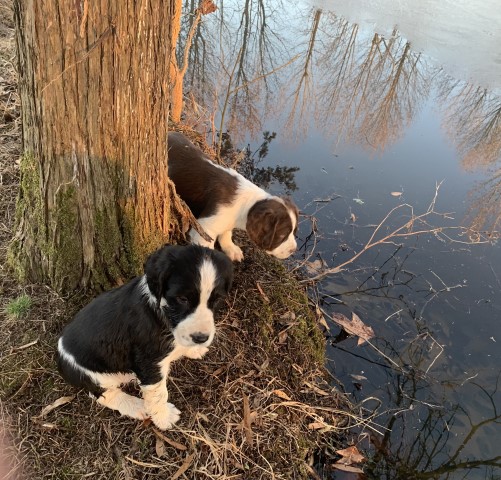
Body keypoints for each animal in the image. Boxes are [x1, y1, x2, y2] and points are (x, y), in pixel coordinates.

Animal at [57, 246, 233, 430]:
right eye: (182, 299)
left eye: (217, 300)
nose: (200, 338)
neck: (161, 310)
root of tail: (59, 355)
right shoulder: (149, 361)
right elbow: (158, 394)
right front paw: (164, 418)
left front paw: (194, 349)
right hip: (94, 376)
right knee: (103, 395)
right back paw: (137, 406)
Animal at [166, 132, 298, 262]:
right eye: (282, 235)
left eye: (293, 231)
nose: (293, 250)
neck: (247, 204)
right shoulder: (204, 231)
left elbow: (226, 233)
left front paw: (231, 249)